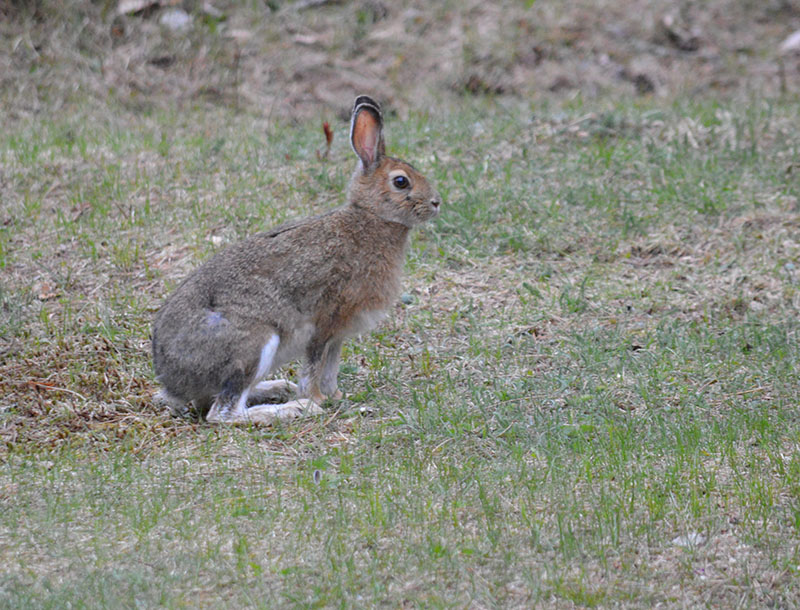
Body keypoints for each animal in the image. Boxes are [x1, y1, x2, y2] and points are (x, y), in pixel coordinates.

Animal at [153, 96, 440, 422]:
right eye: (401, 182)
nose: (436, 203)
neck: (371, 217)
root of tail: (171, 376)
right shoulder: (326, 321)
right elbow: (315, 365)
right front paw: (315, 399)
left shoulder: (339, 334)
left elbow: (331, 366)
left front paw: (336, 396)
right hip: (253, 344)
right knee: (224, 413)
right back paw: (293, 408)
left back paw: (279, 388)